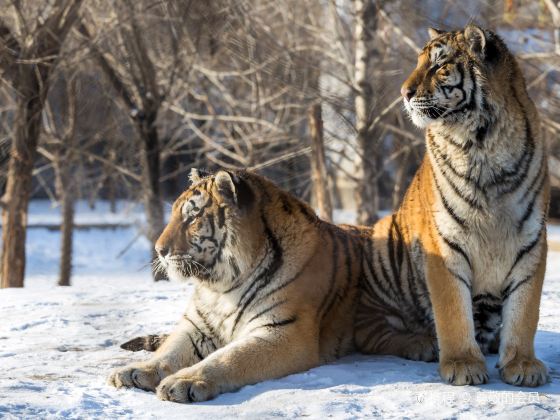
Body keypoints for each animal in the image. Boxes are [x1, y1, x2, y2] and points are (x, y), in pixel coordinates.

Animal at [107, 168, 366, 404]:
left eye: (192, 218)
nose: (159, 250)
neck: (223, 288)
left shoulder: (284, 332)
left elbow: (229, 357)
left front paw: (184, 381)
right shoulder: (196, 327)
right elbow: (168, 352)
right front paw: (136, 370)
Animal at [356, 23, 548, 388]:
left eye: (439, 66)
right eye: (419, 62)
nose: (403, 93)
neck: (483, 145)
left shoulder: (531, 241)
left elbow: (524, 311)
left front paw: (523, 364)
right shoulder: (443, 244)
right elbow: (452, 311)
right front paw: (462, 364)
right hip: (383, 239)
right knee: (375, 328)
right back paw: (421, 344)